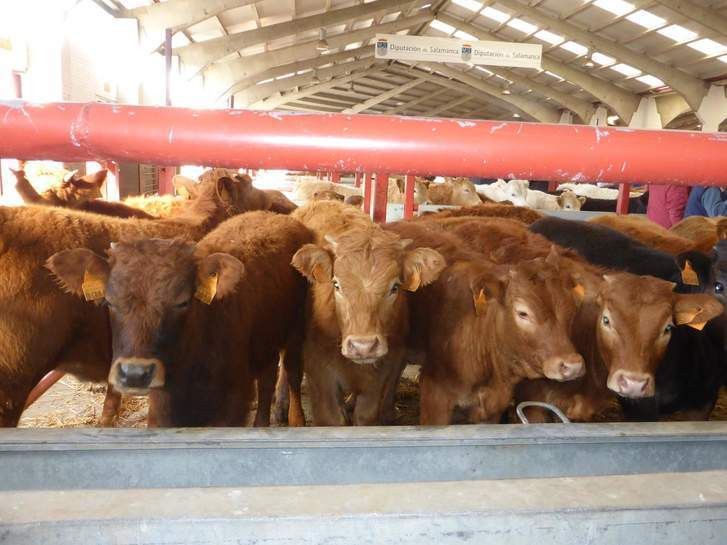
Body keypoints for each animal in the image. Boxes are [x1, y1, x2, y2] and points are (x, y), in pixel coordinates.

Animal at [48, 210, 310, 428]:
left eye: (183, 302)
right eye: (109, 301)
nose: (135, 373)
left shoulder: (232, 405)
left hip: (296, 331)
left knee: (292, 372)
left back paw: (297, 421)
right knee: (268, 377)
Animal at [290, 200, 444, 424]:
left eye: (395, 287)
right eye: (336, 284)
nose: (363, 347)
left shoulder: (379, 376)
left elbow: (365, 417)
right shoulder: (319, 372)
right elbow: (331, 420)